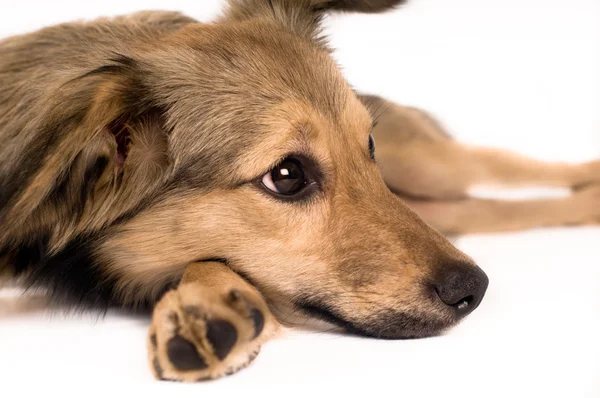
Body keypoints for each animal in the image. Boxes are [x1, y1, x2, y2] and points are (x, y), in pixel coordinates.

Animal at [0, 0, 596, 382]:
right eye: (286, 175)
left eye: (367, 145)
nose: (473, 289)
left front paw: (209, 305)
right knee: (484, 206)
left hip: (427, 166)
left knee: (501, 164)